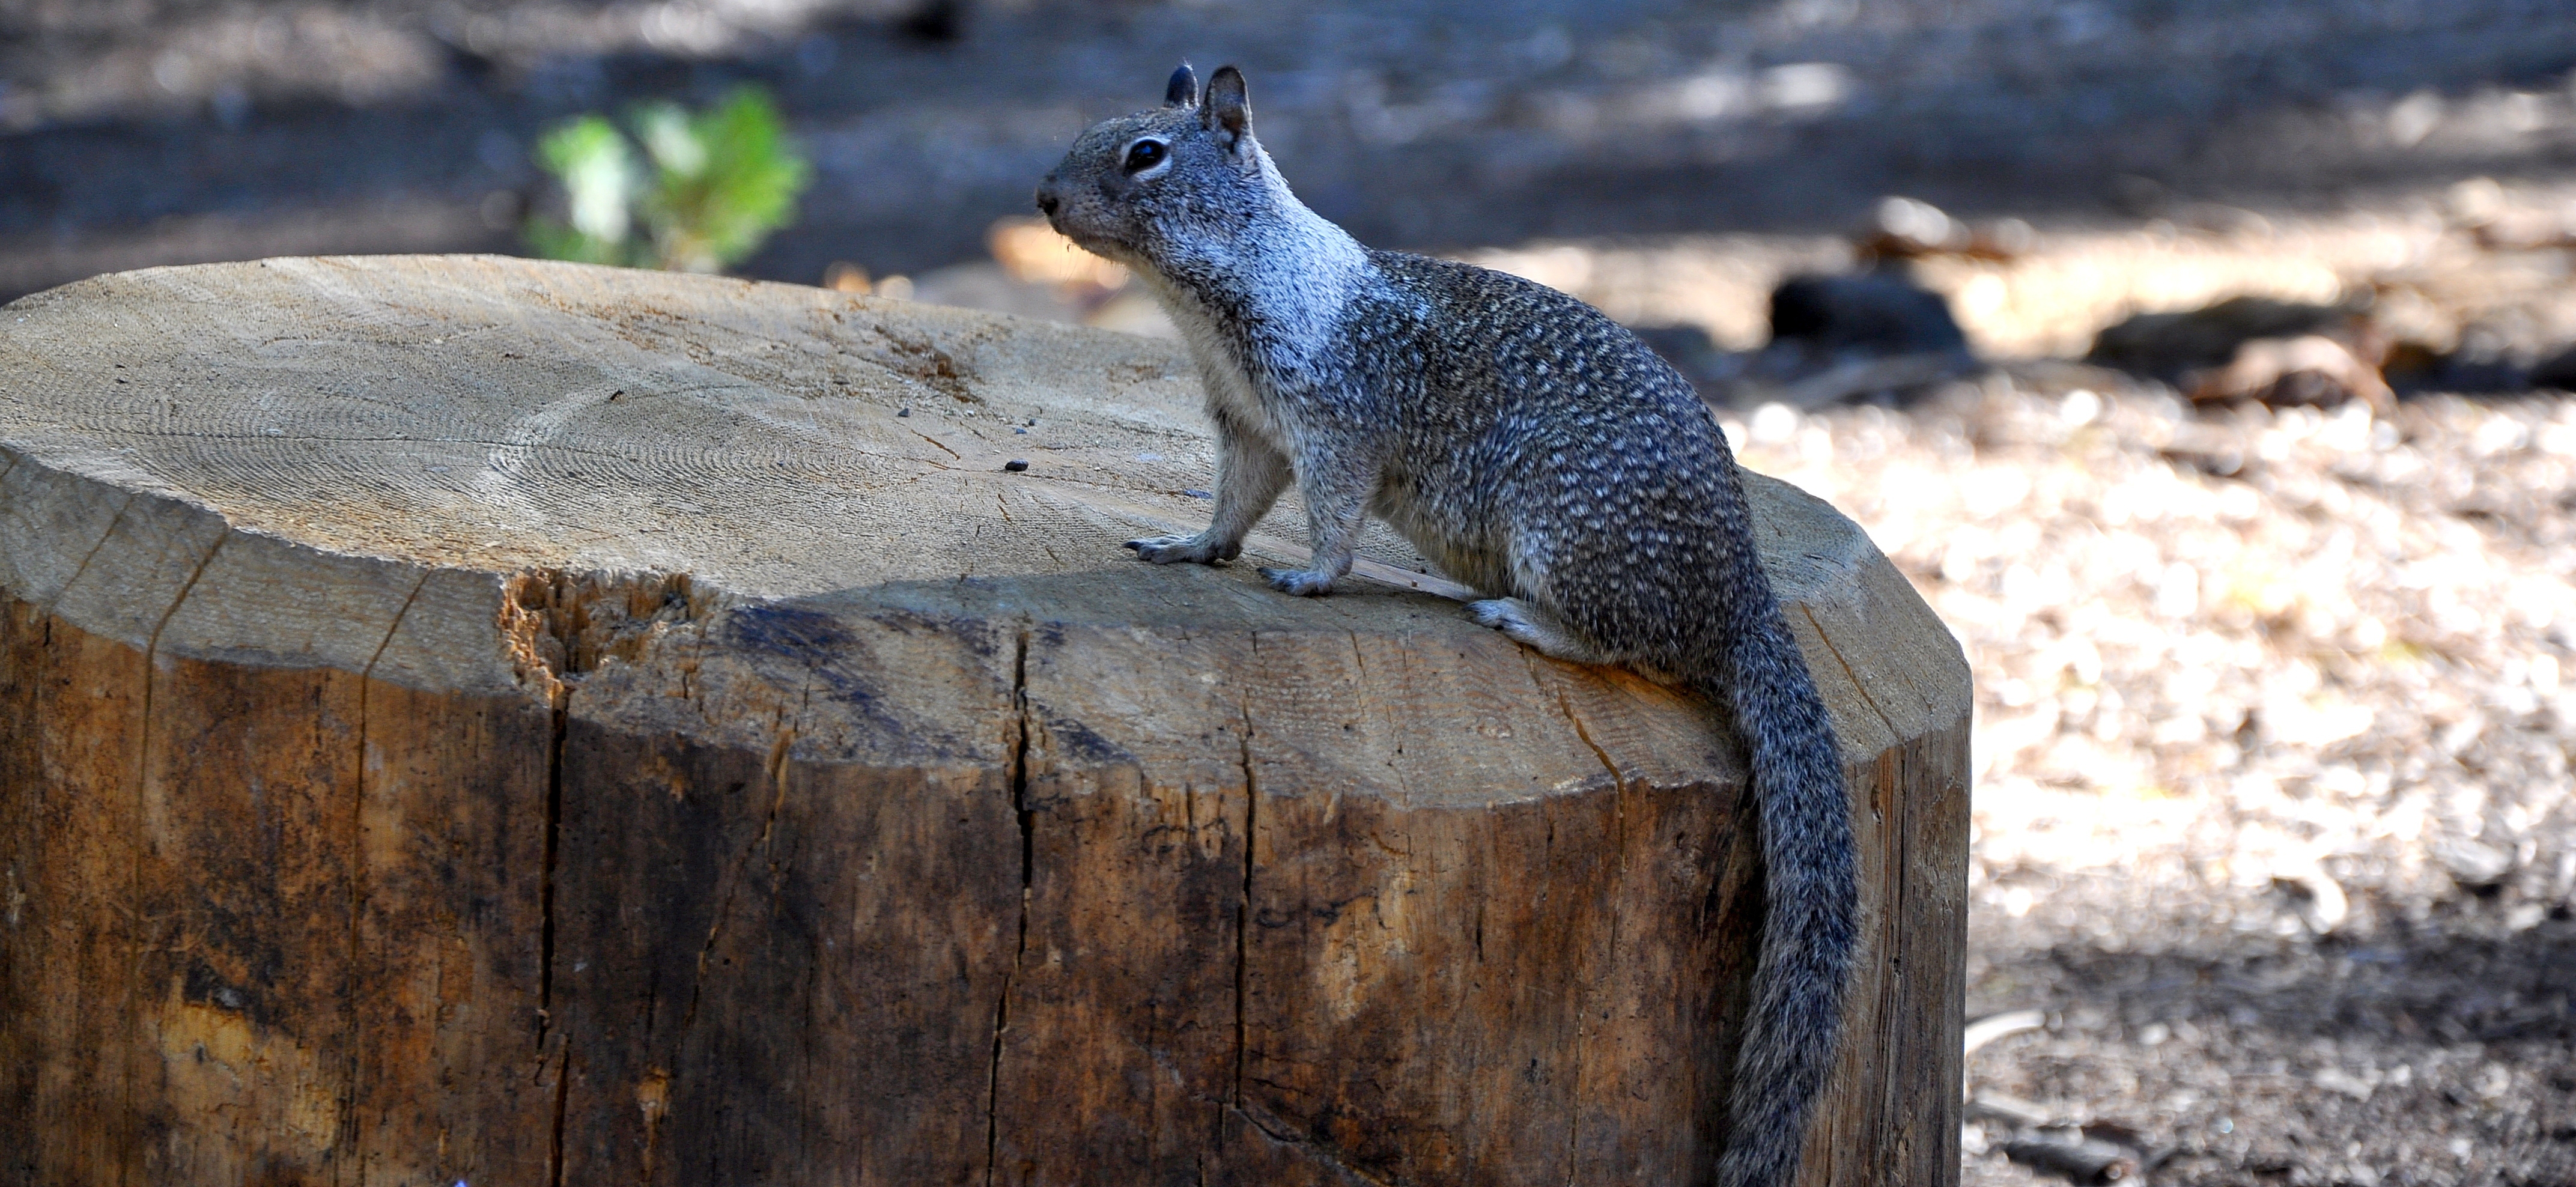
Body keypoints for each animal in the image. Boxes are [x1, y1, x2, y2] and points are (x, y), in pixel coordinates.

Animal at [1035, 64, 1865, 1184]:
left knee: (1632, 648)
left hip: (1565, 528)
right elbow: (1232, 506)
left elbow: (1333, 511)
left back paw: (1521, 618)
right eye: (1095, 132)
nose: (1042, 199)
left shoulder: (1335, 419)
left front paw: (1309, 575)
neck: (1237, 289)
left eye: (1146, 155)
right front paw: (1189, 548)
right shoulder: (1246, 423)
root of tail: (1745, 600)